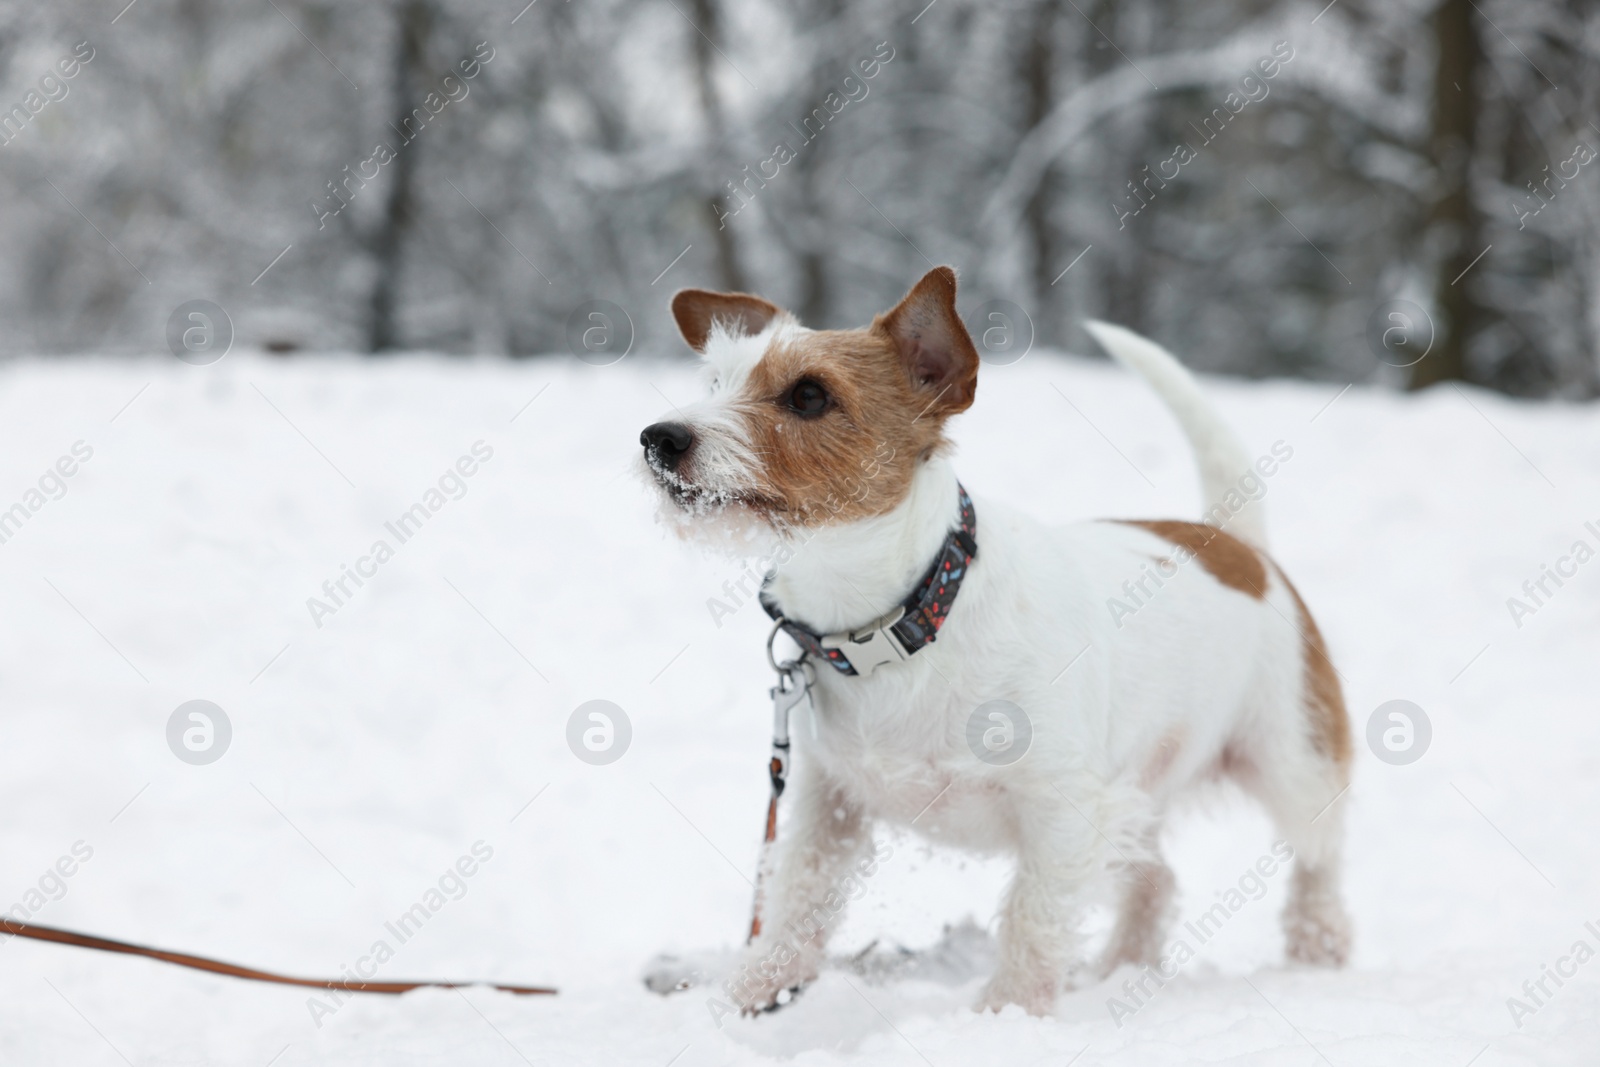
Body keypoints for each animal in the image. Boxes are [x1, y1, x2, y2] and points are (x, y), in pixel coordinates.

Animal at [636, 267, 1350, 1017]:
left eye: (809, 395)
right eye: (716, 381)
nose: (659, 437)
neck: (901, 621)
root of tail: (1240, 546)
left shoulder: (1062, 807)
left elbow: (1033, 916)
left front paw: (1008, 1011)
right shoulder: (828, 799)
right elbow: (799, 889)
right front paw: (756, 986)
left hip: (1293, 761)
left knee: (1319, 857)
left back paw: (1318, 950)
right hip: (1140, 790)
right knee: (1155, 881)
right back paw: (1121, 969)